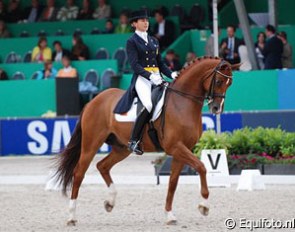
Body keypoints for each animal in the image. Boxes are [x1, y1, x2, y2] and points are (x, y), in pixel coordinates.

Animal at [55, 56, 238, 225]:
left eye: (230, 84)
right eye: (219, 81)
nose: (216, 108)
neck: (182, 102)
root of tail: (93, 101)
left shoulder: (182, 149)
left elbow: (173, 182)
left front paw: (169, 215)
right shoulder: (175, 147)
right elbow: (202, 167)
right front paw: (204, 206)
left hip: (122, 148)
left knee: (103, 166)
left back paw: (110, 202)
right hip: (91, 144)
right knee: (79, 173)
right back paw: (71, 217)